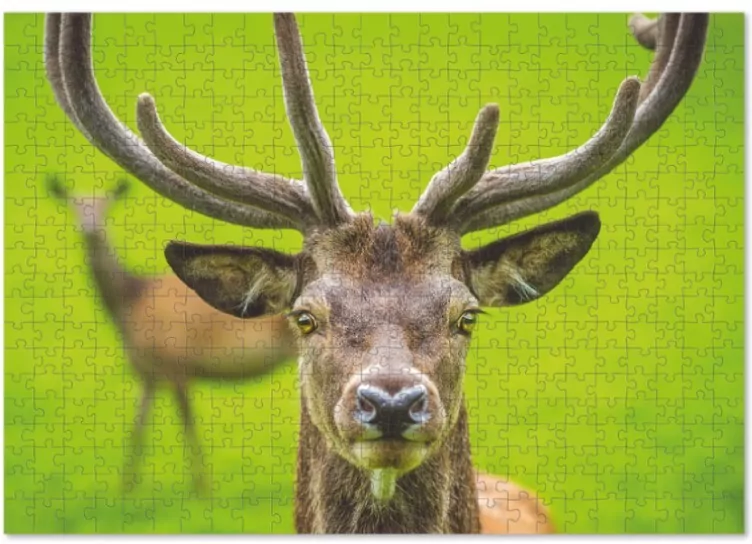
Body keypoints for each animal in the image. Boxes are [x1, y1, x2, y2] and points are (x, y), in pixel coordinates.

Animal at [45, 175, 296, 492]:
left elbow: (188, 425)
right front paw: (126, 487)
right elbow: (138, 428)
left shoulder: (177, 364)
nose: (89, 228)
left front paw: (202, 487)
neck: (130, 303)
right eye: (74, 204)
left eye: (105, 206)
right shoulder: (147, 374)